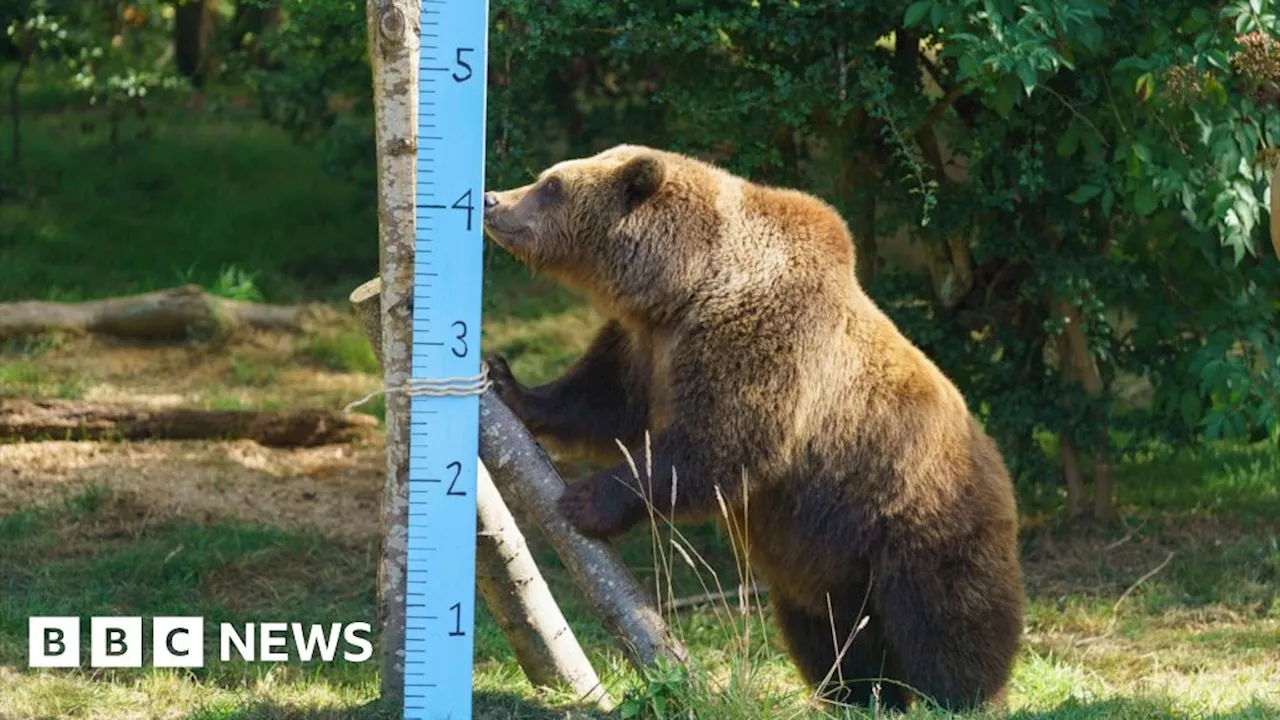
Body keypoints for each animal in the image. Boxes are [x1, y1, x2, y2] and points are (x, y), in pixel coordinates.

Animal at [481, 142, 1029, 707]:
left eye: (552, 185)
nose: (493, 199)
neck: (684, 286)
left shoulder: (759, 340)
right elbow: (602, 401)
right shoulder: (644, 346)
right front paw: (507, 381)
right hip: (827, 565)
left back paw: (963, 697)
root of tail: (1003, 476)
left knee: (947, 625)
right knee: (834, 636)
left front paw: (586, 498)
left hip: (917, 523)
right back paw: (859, 696)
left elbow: (719, 448)